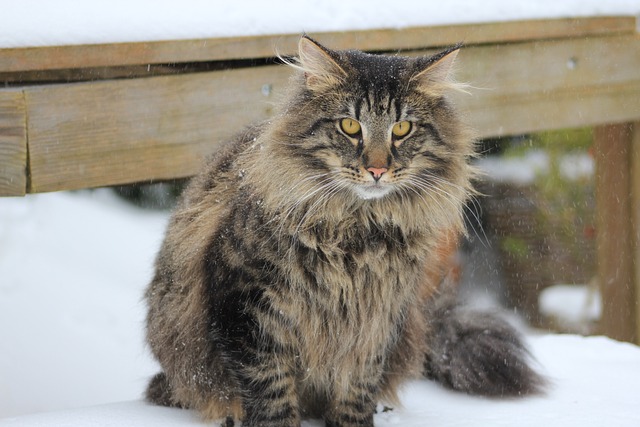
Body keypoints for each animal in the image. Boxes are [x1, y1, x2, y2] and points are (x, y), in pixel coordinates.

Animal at [145, 35, 544, 426]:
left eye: (402, 129)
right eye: (350, 127)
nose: (377, 169)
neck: (358, 231)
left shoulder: (376, 320)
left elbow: (356, 391)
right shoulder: (247, 309)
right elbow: (272, 395)